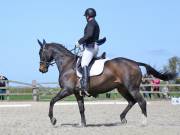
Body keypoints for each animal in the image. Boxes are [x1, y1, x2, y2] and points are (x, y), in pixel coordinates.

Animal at [37, 39, 176, 127]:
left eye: (40, 53)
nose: (41, 69)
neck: (67, 64)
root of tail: (135, 62)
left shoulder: (67, 90)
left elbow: (52, 101)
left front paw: (53, 120)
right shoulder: (77, 93)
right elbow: (81, 108)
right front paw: (83, 124)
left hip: (132, 88)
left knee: (141, 102)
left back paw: (143, 122)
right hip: (122, 89)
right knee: (132, 101)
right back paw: (122, 118)